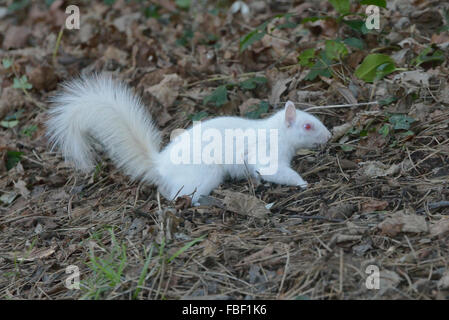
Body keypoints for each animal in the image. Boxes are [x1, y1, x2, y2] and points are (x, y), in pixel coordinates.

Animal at [47, 74, 330, 202]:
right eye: (307, 126)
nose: (328, 135)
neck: (277, 132)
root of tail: (160, 165)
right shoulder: (267, 153)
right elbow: (275, 171)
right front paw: (302, 182)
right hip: (204, 175)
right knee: (179, 197)